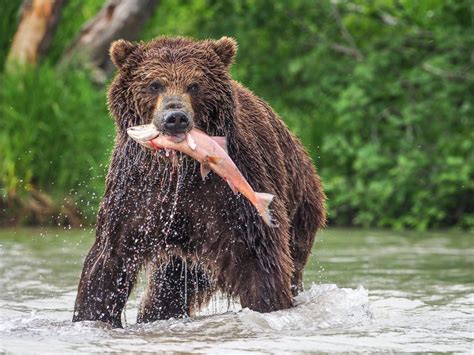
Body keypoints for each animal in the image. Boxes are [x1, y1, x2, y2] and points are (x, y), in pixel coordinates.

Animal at [73, 36, 326, 328]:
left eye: (194, 85)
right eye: (154, 84)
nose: (175, 118)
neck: (181, 167)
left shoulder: (230, 195)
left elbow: (260, 261)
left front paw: (267, 304)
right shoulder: (138, 192)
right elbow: (109, 260)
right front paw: (91, 316)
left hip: (300, 211)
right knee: (166, 293)